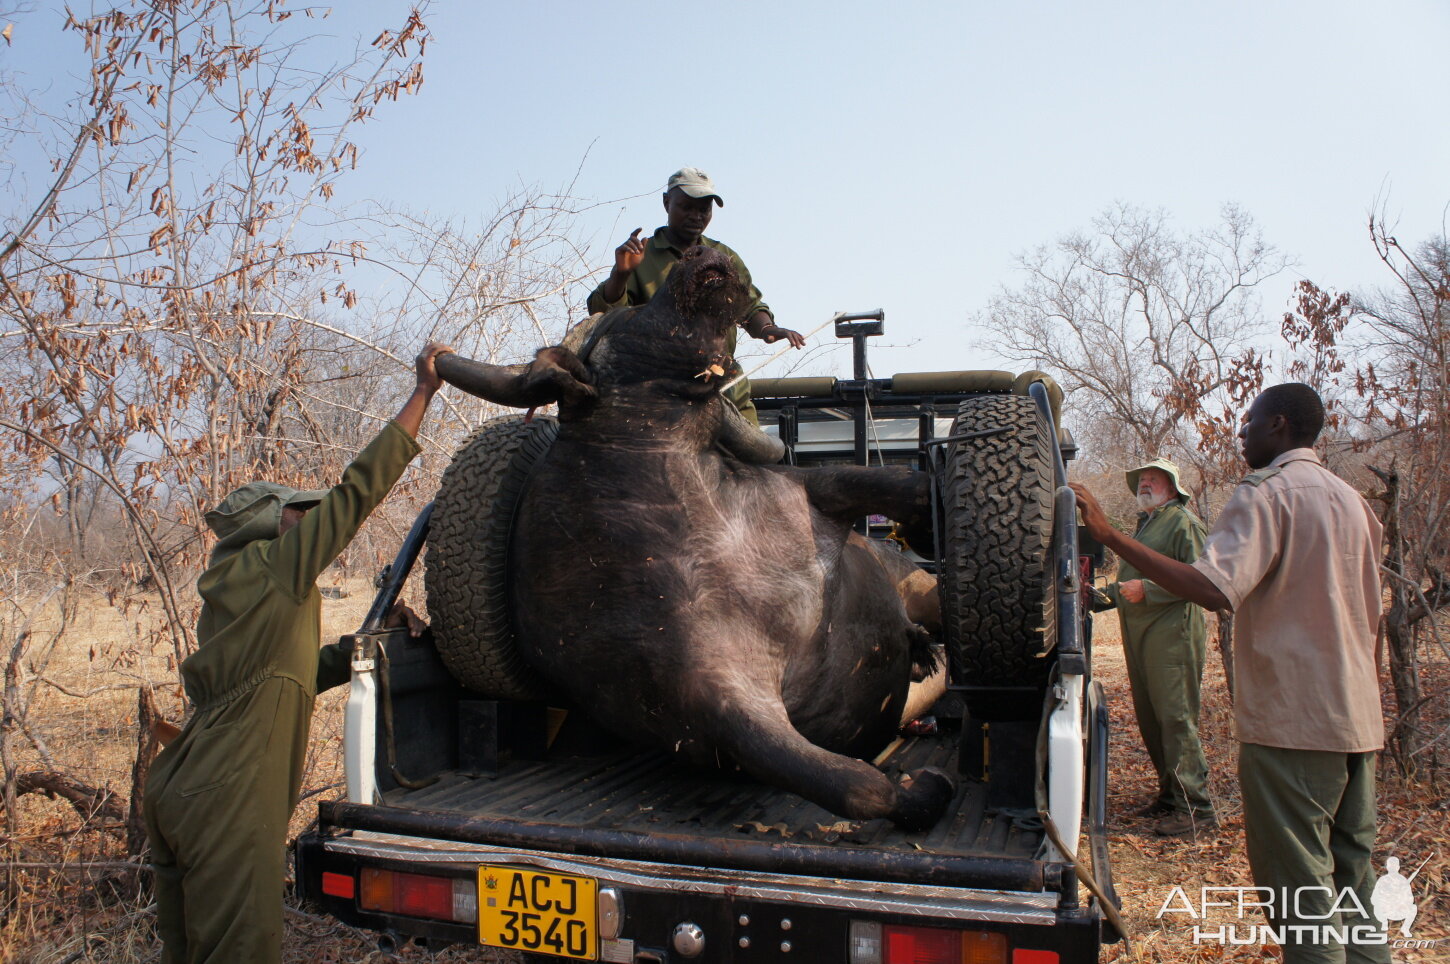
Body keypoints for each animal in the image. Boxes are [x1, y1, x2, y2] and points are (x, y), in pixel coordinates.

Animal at [429, 246, 951, 829]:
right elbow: (855, 787)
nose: (704, 252)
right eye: (632, 314)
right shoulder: (712, 698)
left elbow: (901, 483)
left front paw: (930, 517)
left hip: (912, 585)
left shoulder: (812, 493)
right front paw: (924, 791)